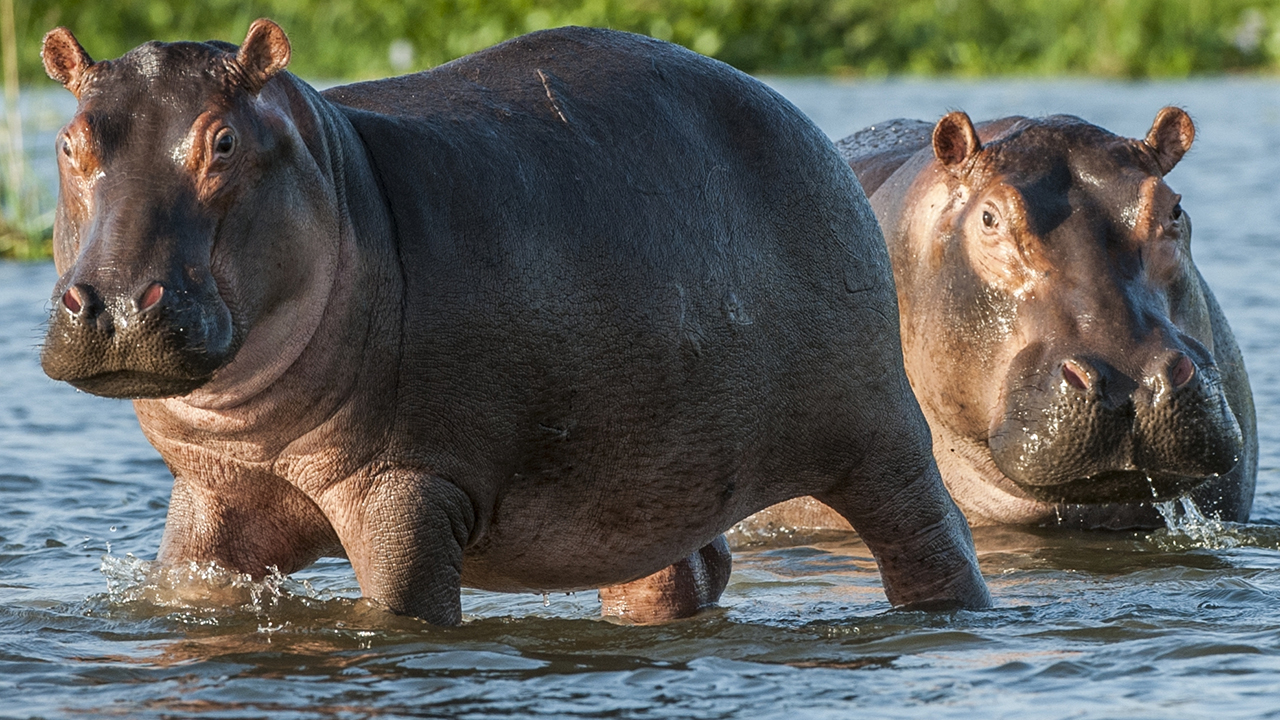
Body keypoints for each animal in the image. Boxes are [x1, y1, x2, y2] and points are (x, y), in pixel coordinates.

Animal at [32, 19, 988, 620]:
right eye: (69, 142)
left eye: (223, 141)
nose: (115, 304)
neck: (338, 178)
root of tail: (805, 123)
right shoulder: (212, 496)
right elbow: (191, 589)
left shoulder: (409, 488)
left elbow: (402, 613)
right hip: (646, 477)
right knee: (678, 572)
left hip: (878, 433)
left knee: (931, 536)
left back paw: (947, 618)